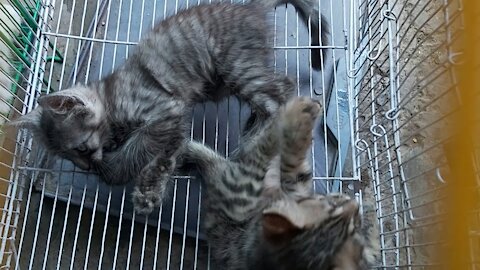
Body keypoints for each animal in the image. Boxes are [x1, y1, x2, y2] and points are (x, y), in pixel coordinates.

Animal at [10, 0, 330, 215]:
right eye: (67, 156)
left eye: (80, 148)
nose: (86, 167)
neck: (110, 96)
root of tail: (249, 8)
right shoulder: (172, 125)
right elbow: (169, 153)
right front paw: (151, 187)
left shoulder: (165, 111)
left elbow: (138, 154)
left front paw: (122, 176)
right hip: (232, 76)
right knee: (278, 88)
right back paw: (253, 126)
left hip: (237, 66)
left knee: (280, 94)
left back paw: (252, 141)